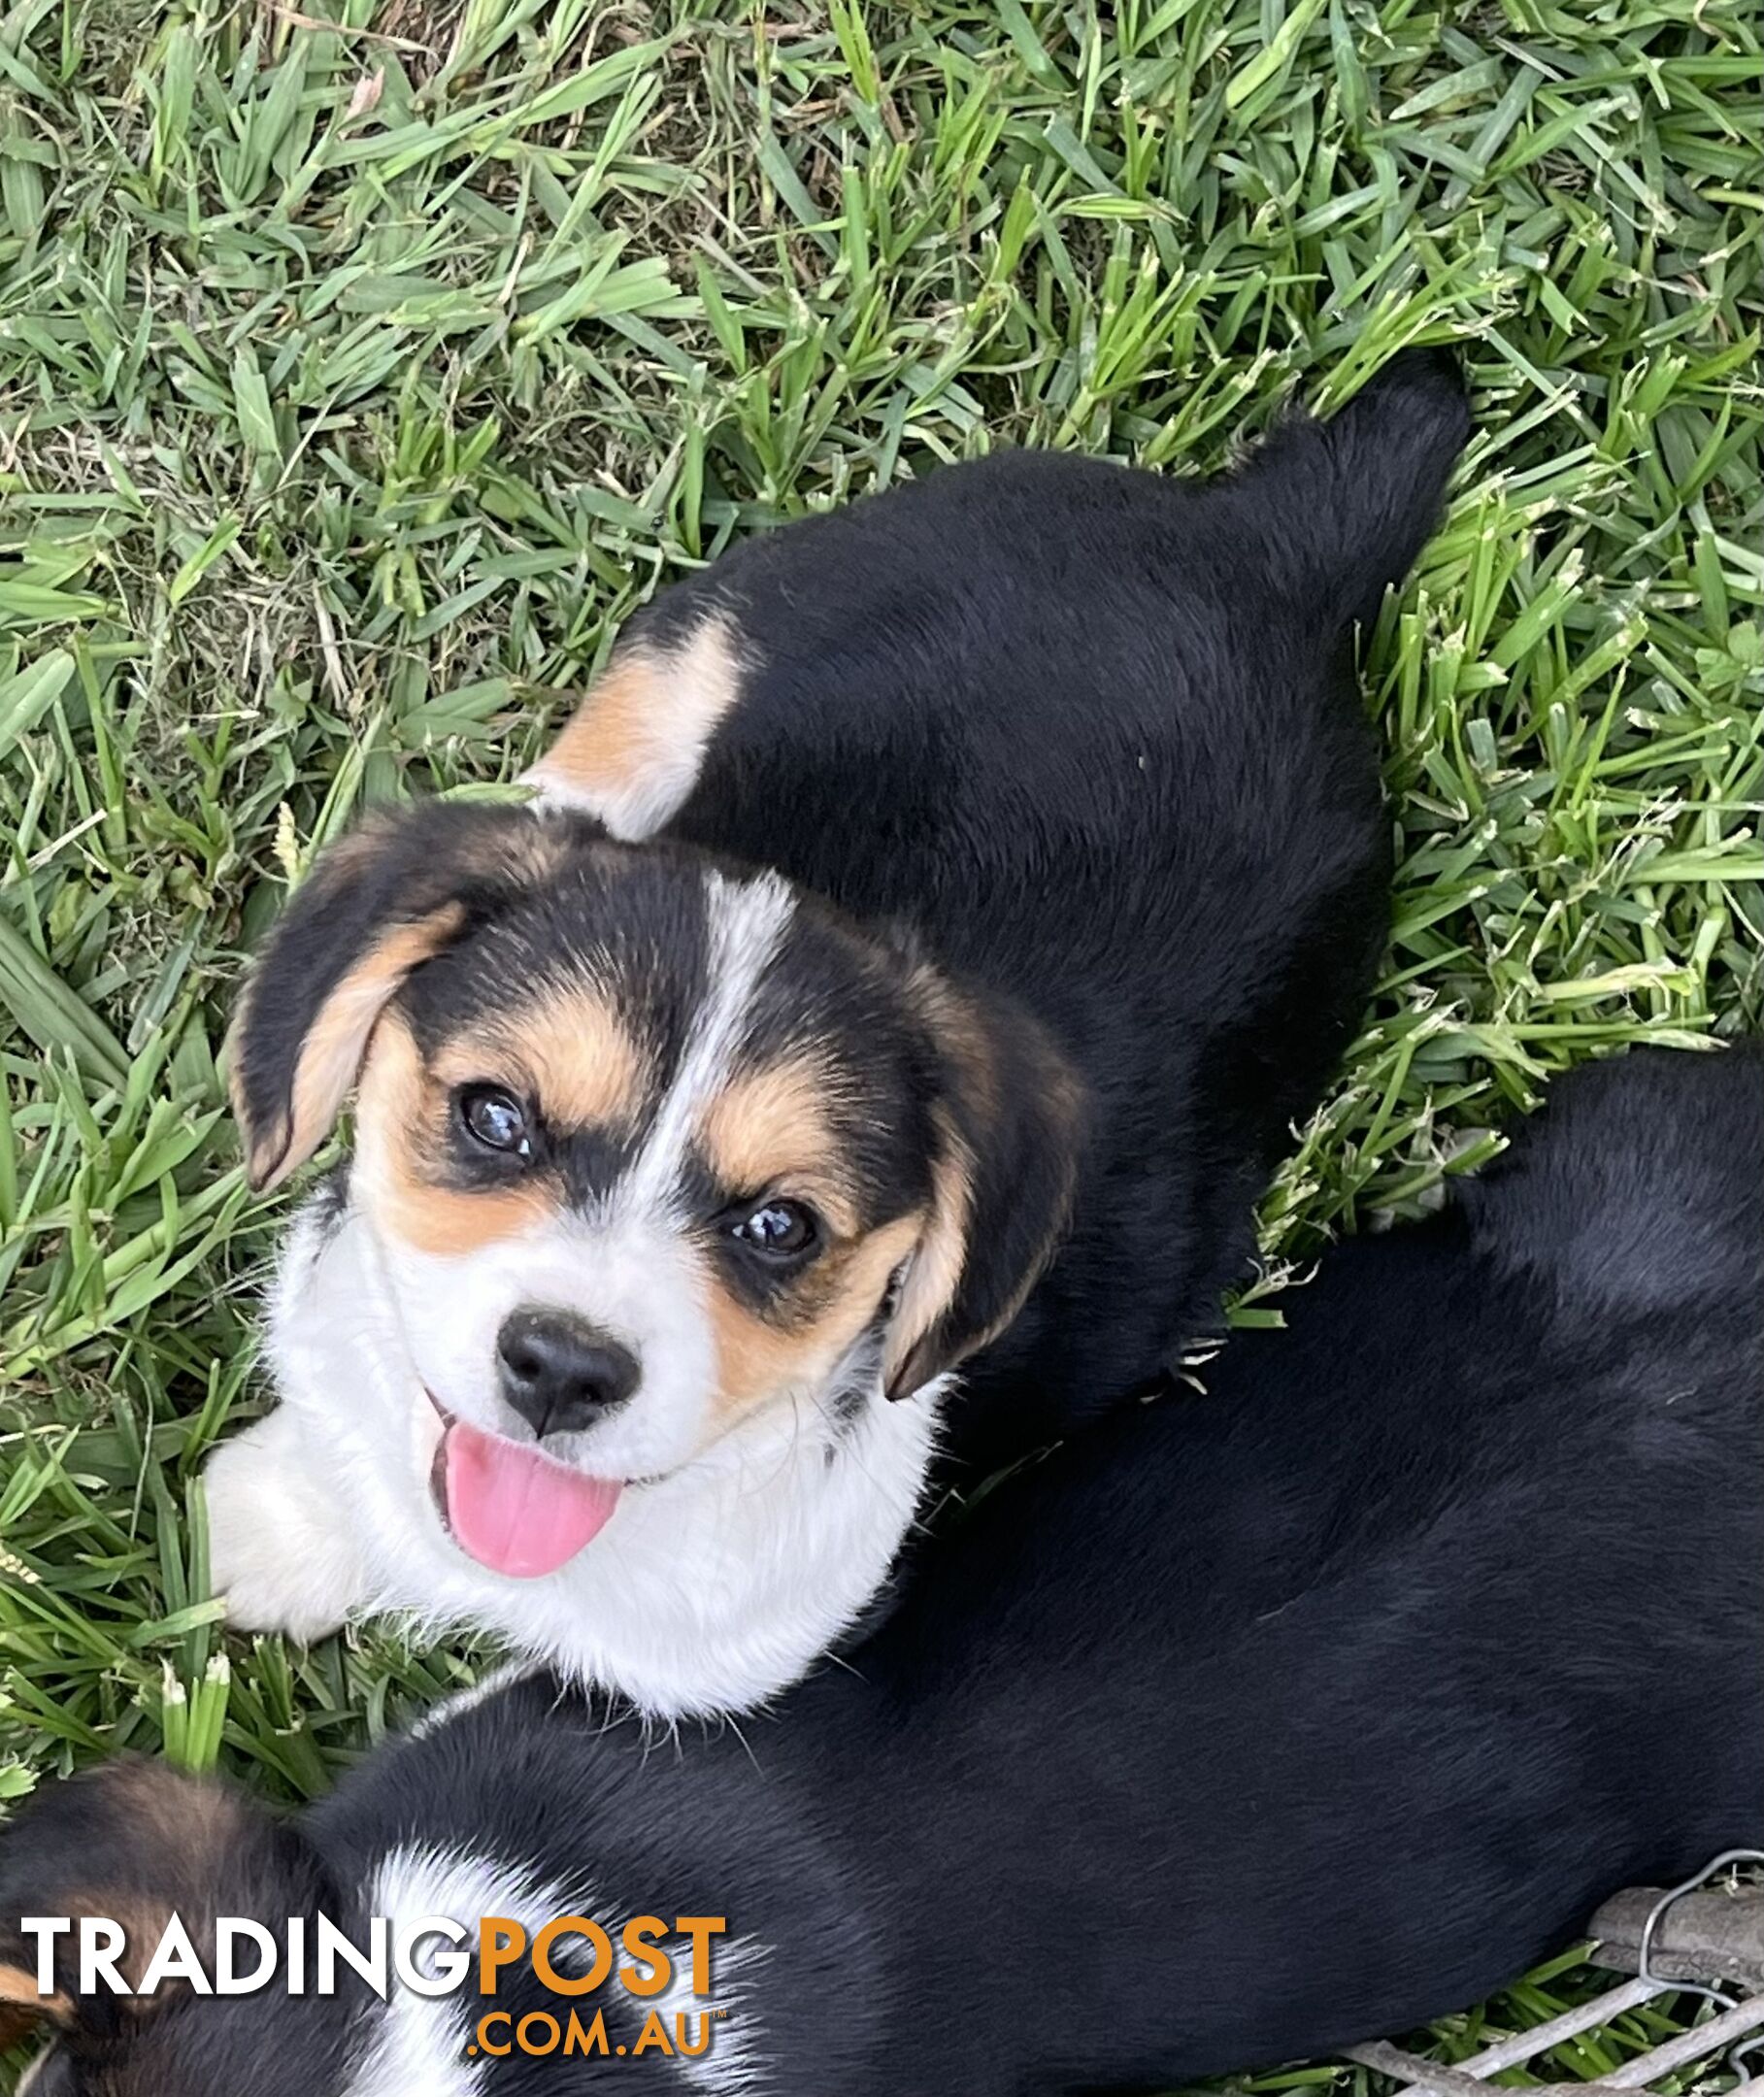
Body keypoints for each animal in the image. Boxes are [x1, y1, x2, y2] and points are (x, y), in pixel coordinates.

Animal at [203, 351, 1477, 1711]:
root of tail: (1272, 551)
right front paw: (279, 1528)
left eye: (781, 1227)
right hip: (718, 631)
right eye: (494, 1116)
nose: (562, 1369)